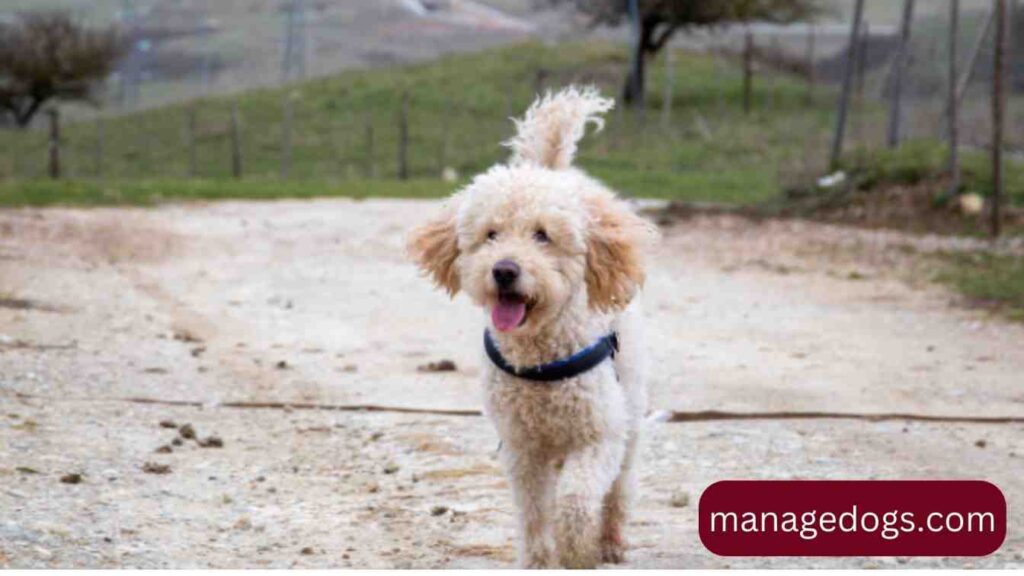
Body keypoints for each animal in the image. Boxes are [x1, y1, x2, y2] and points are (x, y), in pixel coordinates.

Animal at [407, 85, 655, 565]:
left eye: (543, 235)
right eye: (491, 234)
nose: (504, 270)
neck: (540, 358)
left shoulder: (598, 436)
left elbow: (575, 501)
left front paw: (578, 550)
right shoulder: (523, 451)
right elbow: (535, 514)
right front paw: (541, 559)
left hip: (630, 411)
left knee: (620, 487)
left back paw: (611, 541)